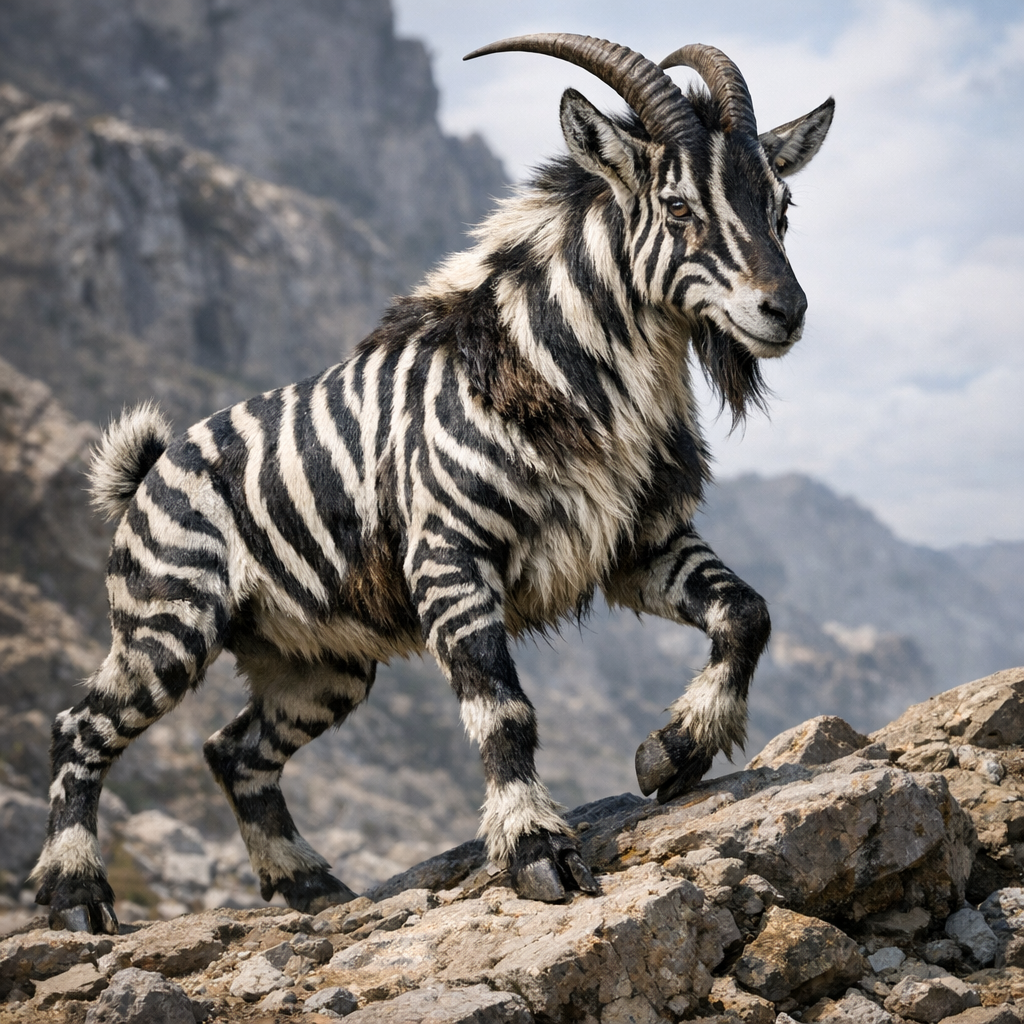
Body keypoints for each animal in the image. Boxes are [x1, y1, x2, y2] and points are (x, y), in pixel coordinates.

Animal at [31, 33, 833, 932]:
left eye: (782, 207)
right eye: (678, 206)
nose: (785, 311)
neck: (558, 375)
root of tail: (146, 473)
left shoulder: (640, 543)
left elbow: (747, 614)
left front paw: (674, 750)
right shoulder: (452, 556)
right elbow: (503, 711)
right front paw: (537, 851)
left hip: (320, 664)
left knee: (234, 751)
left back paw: (314, 888)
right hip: (166, 625)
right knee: (79, 728)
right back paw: (76, 897)